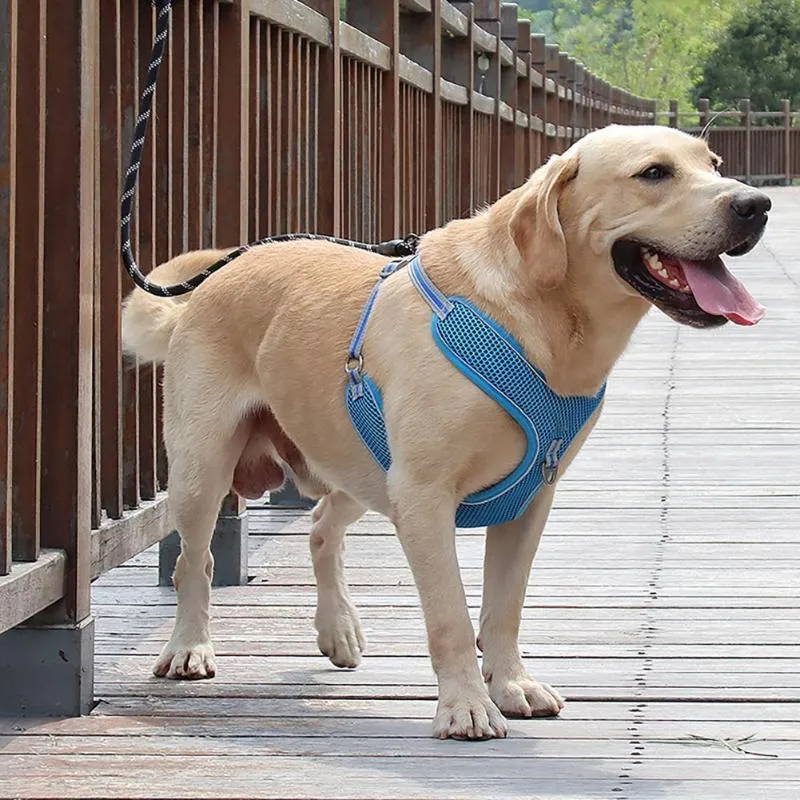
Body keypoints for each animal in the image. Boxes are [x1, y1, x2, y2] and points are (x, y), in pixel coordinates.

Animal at [123, 122, 768, 740]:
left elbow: (503, 609)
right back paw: (189, 647)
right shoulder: (423, 496)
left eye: (714, 165)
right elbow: (451, 617)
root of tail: (212, 280)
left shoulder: (529, 499)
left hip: (363, 468)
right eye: (654, 173)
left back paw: (339, 630)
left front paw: (512, 684)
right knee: (194, 562)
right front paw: (466, 707)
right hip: (205, 469)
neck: (545, 326)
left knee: (321, 524)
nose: (755, 204)